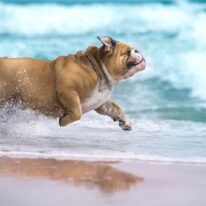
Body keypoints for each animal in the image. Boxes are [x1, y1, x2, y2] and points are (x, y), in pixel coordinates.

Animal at [0, 36, 146, 130]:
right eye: (127, 52)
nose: (138, 50)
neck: (98, 69)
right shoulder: (68, 92)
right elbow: (77, 112)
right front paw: (63, 121)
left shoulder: (101, 103)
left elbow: (116, 109)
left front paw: (125, 121)